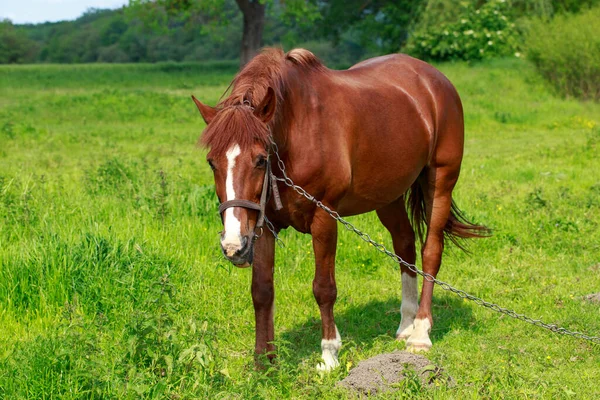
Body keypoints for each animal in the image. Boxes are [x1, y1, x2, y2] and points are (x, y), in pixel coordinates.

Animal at [192, 47, 488, 372]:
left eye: (260, 159)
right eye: (212, 162)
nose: (233, 246)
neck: (298, 131)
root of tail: (436, 80)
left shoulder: (324, 218)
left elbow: (324, 288)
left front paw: (329, 355)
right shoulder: (264, 223)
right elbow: (262, 290)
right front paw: (264, 362)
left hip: (440, 182)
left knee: (431, 252)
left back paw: (420, 333)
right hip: (389, 196)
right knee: (405, 246)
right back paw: (406, 325)